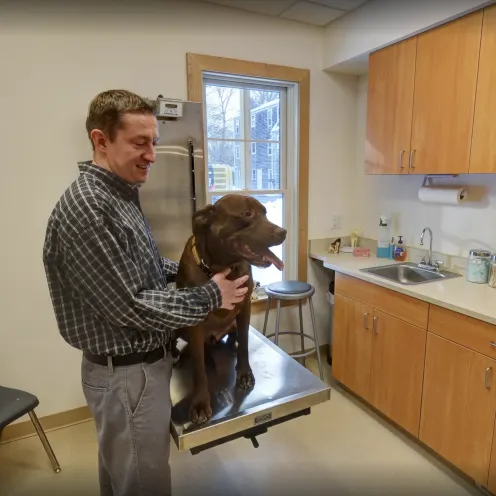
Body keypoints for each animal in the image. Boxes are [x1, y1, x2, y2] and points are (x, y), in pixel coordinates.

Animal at [175, 195, 286, 426]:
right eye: (247, 214)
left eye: (265, 213)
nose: (283, 232)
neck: (220, 267)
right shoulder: (194, 319)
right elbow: (198, 369)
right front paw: (200, 402)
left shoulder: (244, 308)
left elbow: (244, 343)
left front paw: (244, 373)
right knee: (195, 349)